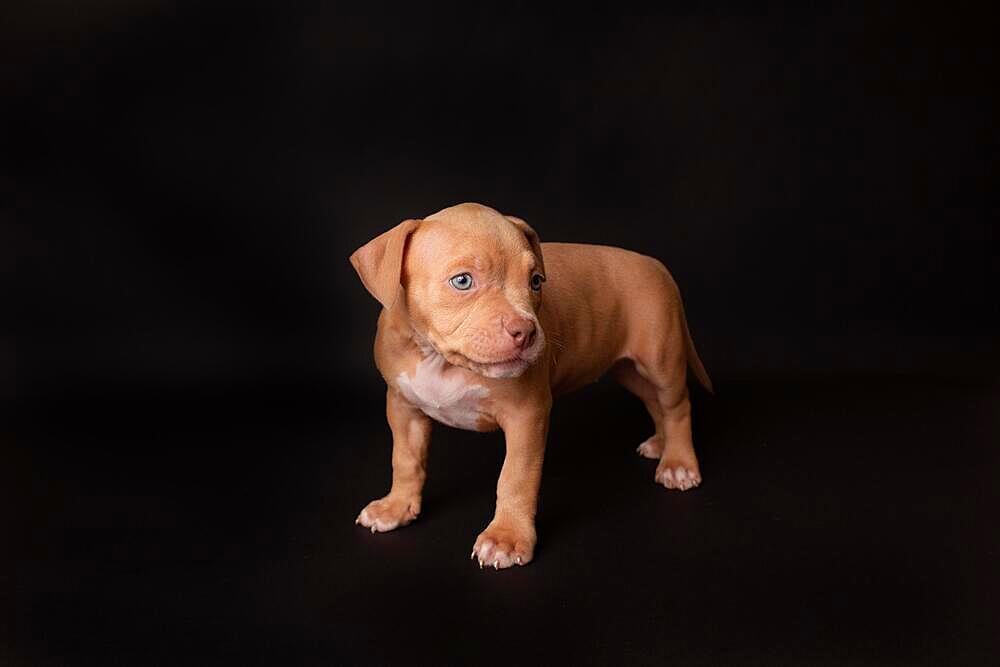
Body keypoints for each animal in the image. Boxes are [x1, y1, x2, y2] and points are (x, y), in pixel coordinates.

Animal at [352, 202, 712, 568]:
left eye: (536, 281)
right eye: (462, 281)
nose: (525, 331)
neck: (440, 359)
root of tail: (654, 263)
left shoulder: (527, 415)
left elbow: (516, 477)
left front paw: (506, 538)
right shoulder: (403, 406)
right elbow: (405, 460)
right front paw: (395, 507)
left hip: (661, 360)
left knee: (676, 405)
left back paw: (678, 462)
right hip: (629, 370)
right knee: (654, 401)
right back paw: (661, 444)